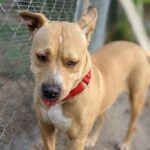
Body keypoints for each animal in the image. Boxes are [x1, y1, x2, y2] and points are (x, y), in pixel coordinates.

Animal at [18, 8, 150, 150]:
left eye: (72, 62)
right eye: (41, 57)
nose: (51, 92)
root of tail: (139, 48)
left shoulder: (77, 140)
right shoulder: (45, 128)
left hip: (137, 98)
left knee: (133, 123)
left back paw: (125, 143)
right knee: (102, 118)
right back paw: (92, 139)